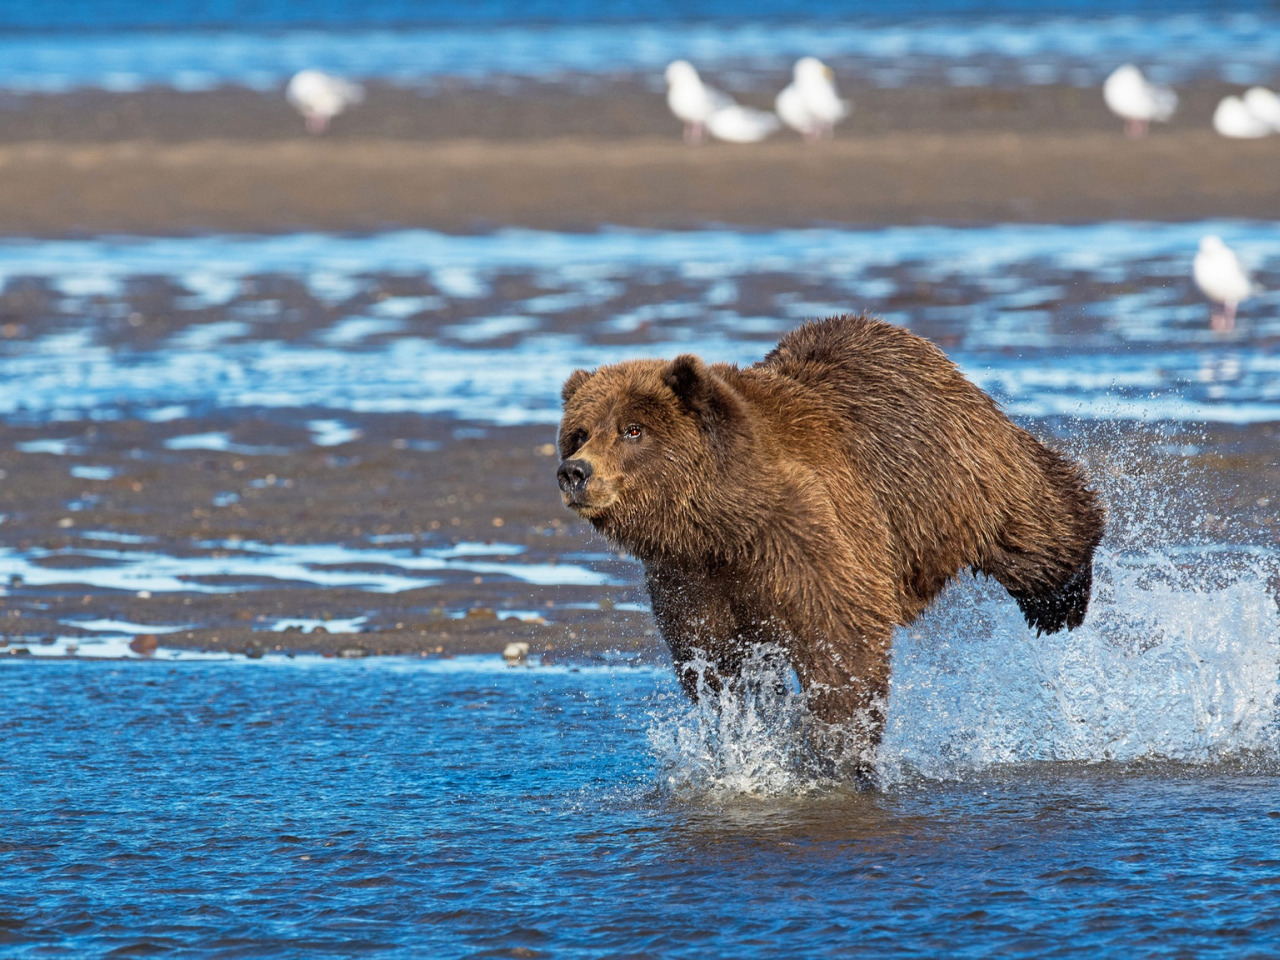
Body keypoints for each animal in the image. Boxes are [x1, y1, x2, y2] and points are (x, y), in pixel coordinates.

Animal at [555, 316, 1105, 773]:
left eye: (632, 430)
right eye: (579, 432)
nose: (575, 472)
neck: (725, 521)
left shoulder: (805, 540)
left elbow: (841, 645)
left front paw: (835, 753)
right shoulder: (689, 578)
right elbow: (720, 666)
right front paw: (752, 737)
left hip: (960, 474)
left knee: (1036, 529)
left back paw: (1062, 599)